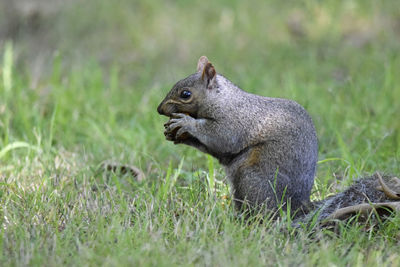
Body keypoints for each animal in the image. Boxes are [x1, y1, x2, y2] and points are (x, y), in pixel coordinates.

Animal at [157, 56, 400, 222]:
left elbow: (221, 138)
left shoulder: (235, 121)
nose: (160, 110)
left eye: (186, 94)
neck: (223, 100)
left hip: (253, 178)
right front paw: (175, 133)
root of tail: (298, 206)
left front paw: (186, 124)